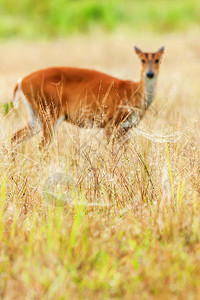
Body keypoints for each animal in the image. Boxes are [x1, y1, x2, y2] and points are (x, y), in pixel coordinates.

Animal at [10, 46, 165, 149]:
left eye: (158, 60)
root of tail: (21, 81)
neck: (134, 92)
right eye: (142, 60)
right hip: (50, 111)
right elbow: (110, 150)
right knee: (42, 145)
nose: (150, 74)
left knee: (15, 137)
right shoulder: (109, 121)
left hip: (36, 115)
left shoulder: (126, 128)